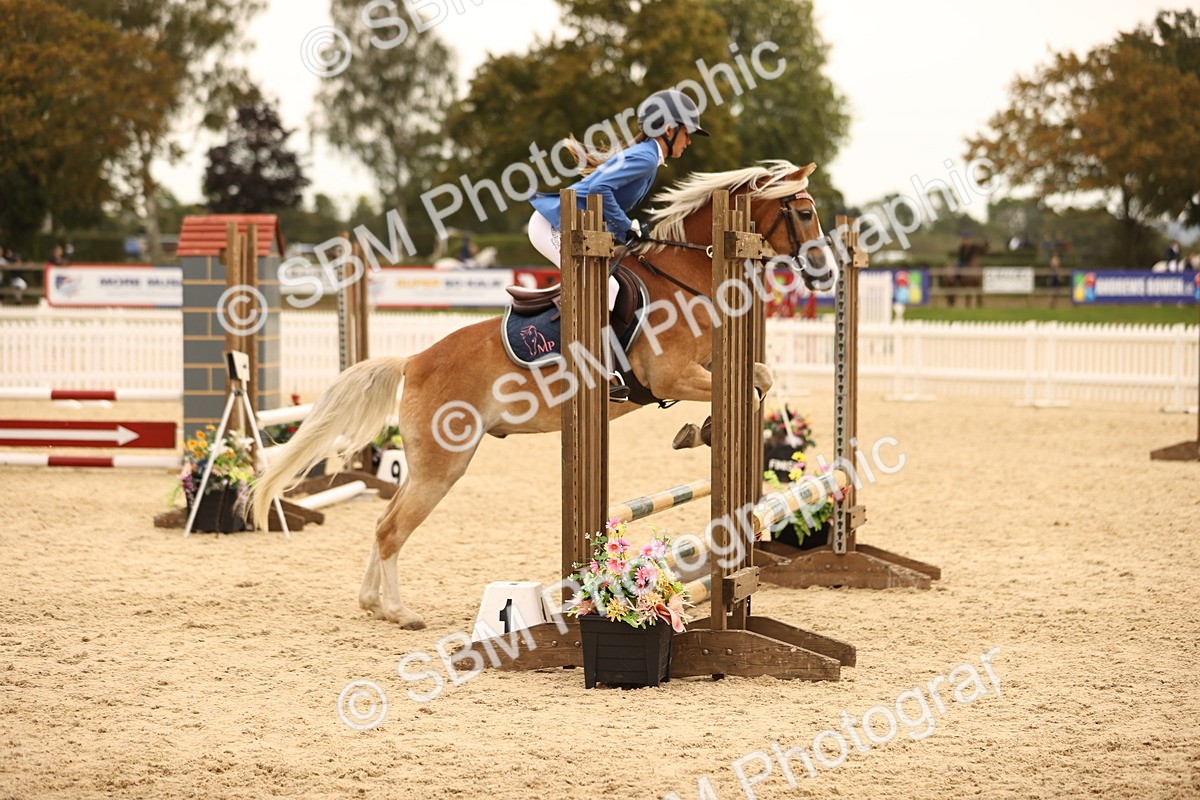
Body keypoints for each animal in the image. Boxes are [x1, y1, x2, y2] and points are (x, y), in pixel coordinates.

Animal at [252, 160, 829, 629]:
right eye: (803, 212)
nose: (823, 271)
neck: (685, 278)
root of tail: (414, 361)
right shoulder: (672, 377)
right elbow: (747, 387)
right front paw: (701, 429)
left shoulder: (707, 366)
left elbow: (760, 378)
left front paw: (703, 430)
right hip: (443, 465)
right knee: (393, 529)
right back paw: (398, 612)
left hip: (424, 464)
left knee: (380, 523)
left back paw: (372, 603)